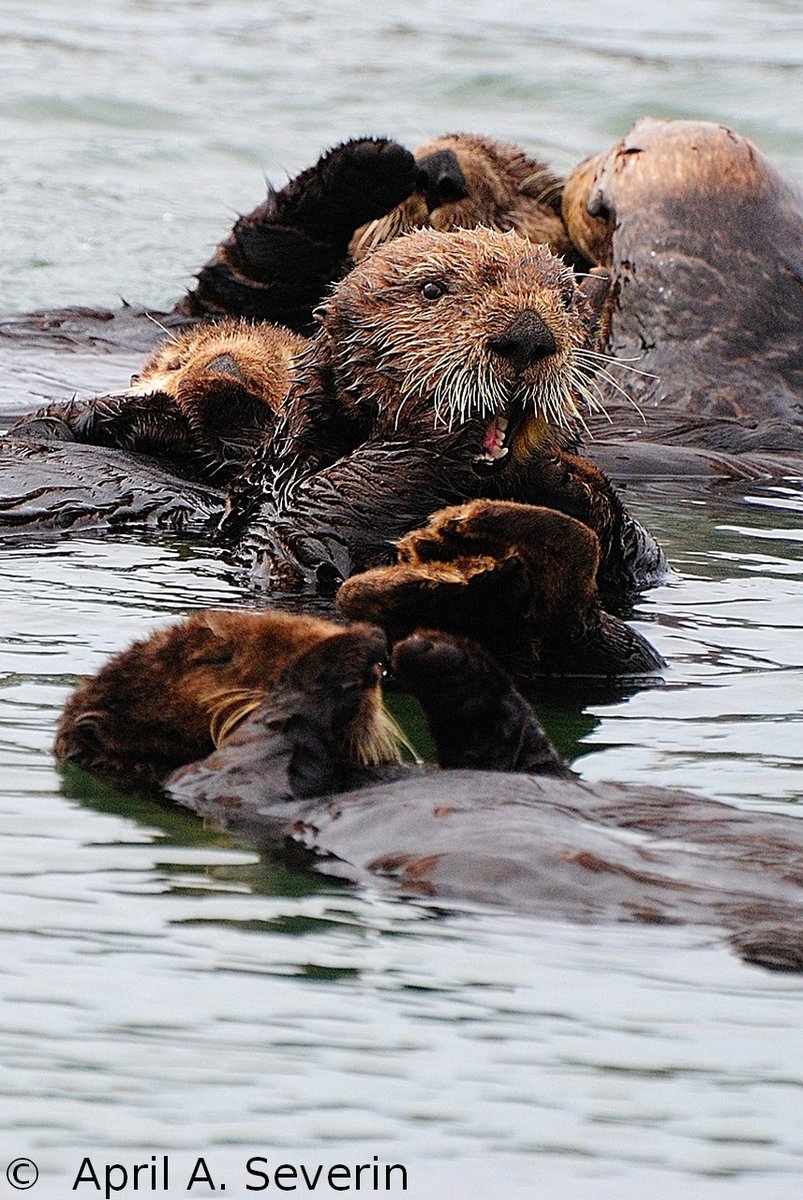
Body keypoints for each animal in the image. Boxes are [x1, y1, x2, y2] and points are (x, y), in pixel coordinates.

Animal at [59, 609, 801, 974]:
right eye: (215, 656)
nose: (339, 632)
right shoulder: (219, 785)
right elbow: (268, 740)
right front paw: (351, 642)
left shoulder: (513, 759)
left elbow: (514, 753)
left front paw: (431, 648)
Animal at [225, 223, 662, 609]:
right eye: (432, 288)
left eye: (568, 300)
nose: (528, 335)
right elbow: (290, 546)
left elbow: (646, 556)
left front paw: (570, 481)